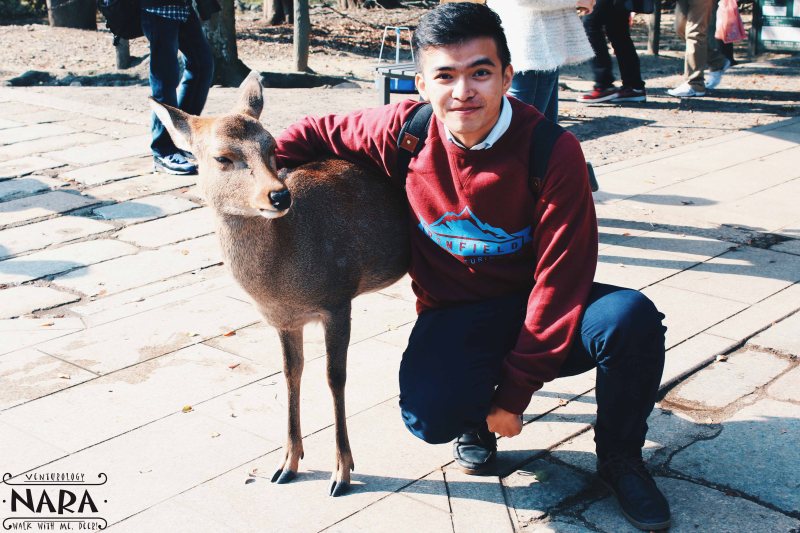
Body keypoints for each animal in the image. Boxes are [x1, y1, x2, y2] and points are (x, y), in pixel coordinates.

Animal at [150, 72, 410, 497]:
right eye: (222, 157)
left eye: (272, 148)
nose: (278, 195)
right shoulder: (283, 319)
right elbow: (291, 373)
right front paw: (287, 464)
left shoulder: (338, 298)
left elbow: (334, 377)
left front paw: (342, 472)